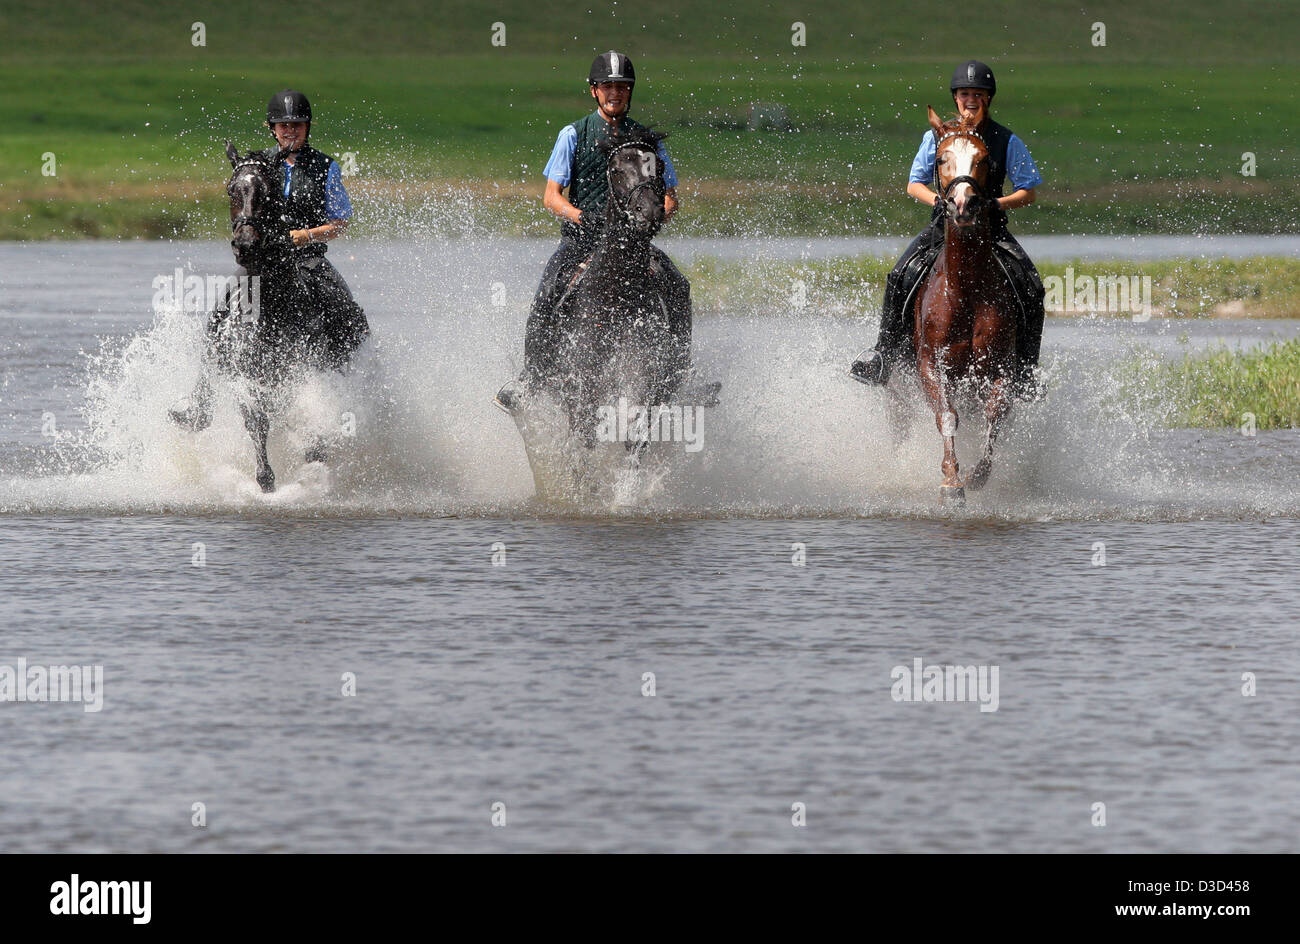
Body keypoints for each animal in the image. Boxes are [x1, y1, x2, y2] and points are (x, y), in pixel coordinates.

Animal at [170, 144, 369, 496]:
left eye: (270, 190)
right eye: (231, 189)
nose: (246, 245)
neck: (273, 307)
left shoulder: (306, 374)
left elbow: (310, 421)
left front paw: (311, 466)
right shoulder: (245, 376)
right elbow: (256, 420)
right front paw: (265, 479)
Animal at [909, 105, 1019, 501]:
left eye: (984, 158)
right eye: (941, 158)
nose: (963, 204)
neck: (966, 287)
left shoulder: (1000, 368)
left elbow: (994, 417)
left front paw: (977, 476)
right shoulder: (931, 365)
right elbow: (947, 416)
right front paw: (951, 480)